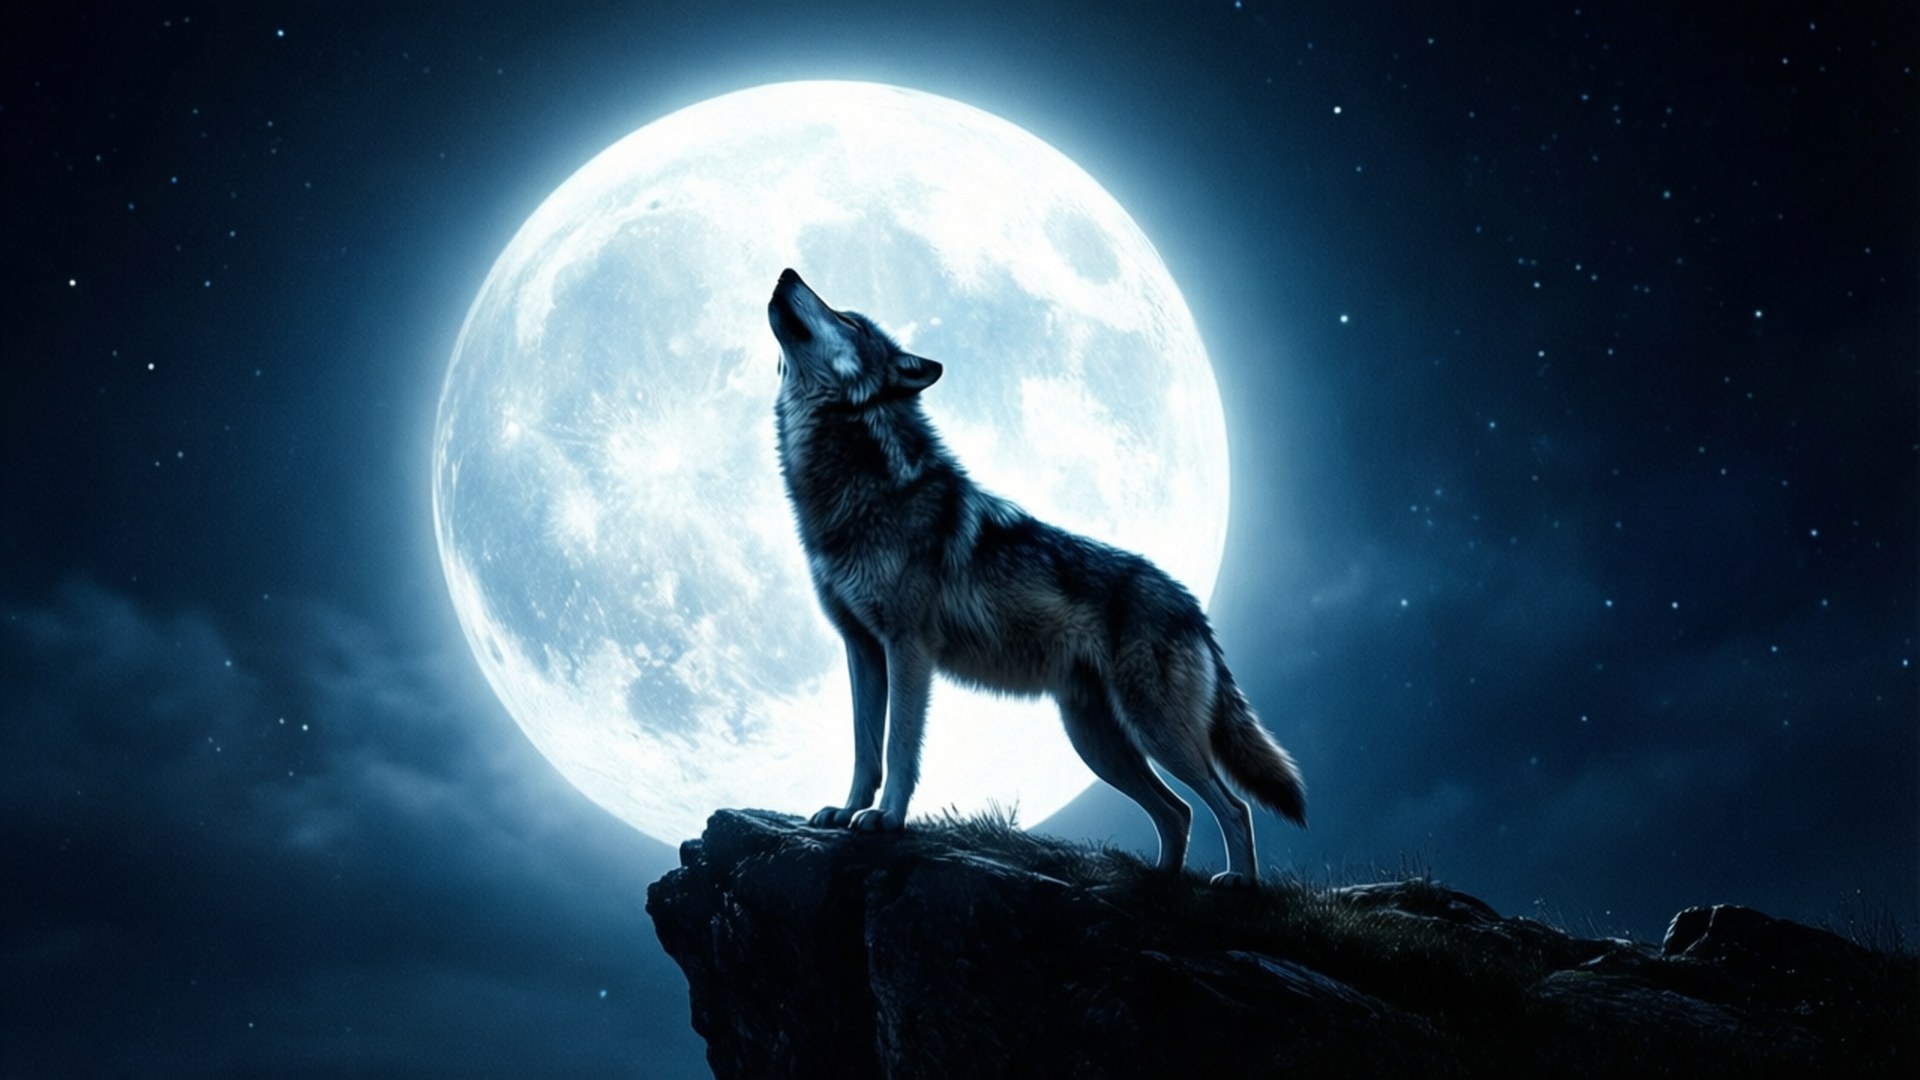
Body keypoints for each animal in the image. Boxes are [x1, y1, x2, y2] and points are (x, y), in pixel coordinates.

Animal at [767, 269, 1305, 885]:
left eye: (849, 320)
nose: (787, 273)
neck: (862, 483)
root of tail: (1193, 605)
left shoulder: (909, 649)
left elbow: (900, 747)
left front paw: (887, 820)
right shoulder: (861, 648)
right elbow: (864, 748)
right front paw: (847, 810)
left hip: (1153, 731)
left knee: (1230, 805)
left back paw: (1239, 882)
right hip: (1098, 742)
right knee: (1179, 812)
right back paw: (1157, 884)